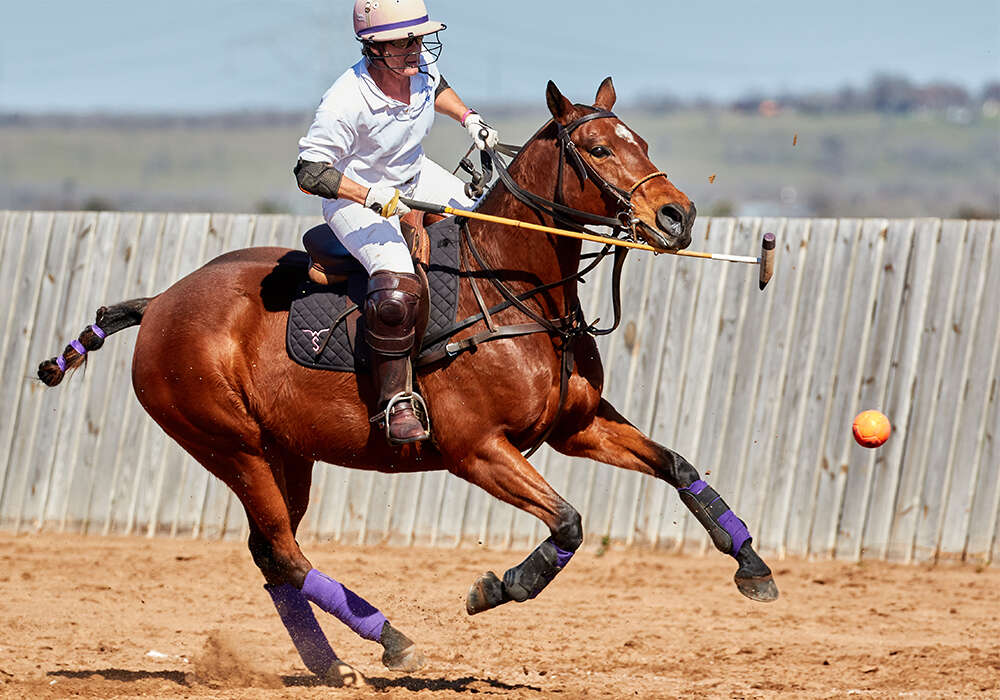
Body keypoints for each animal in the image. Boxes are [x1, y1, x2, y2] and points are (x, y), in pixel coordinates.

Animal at [39, 79, 776, 688]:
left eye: (640, 141)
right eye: (597, 147)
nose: (679, 216)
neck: (513, 287)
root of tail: (160, 302)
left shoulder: (576, 427)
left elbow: (678, 466)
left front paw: (753, 567)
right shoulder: (476, 448)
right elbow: (567, 521)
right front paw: (498, 587)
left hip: (287, 454)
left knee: (271, 554)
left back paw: (332, 665)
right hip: (230, 445)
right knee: (283, 551)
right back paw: (390, 639)